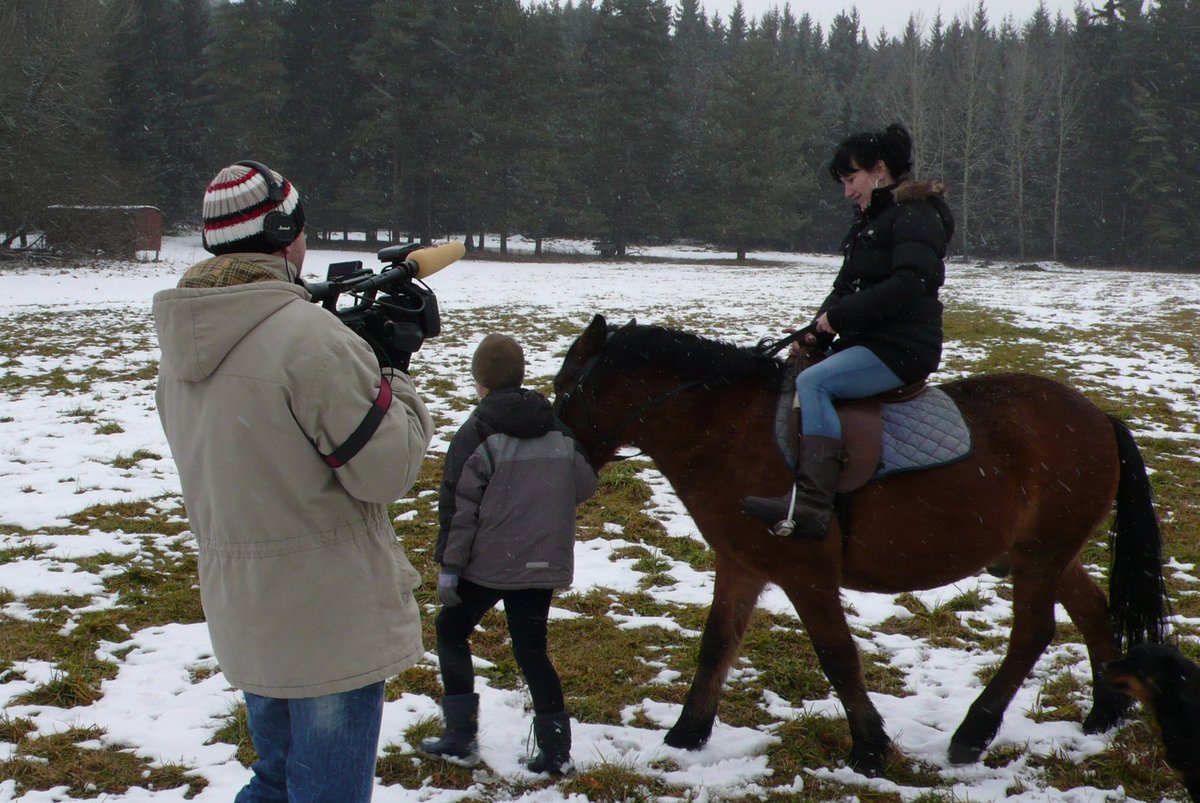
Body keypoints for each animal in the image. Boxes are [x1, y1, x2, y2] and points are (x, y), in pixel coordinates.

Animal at [556, 312, 1166, 777]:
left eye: (566, 390)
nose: (565, 468)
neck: (731, 431)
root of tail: (1099, 416)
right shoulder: (741, 564)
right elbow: (716, 646)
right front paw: (686, 735)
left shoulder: (805, 572)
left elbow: (837, 656)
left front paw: (870, 748)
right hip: (1048, 553)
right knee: (1092, 610)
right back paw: (1104, 713)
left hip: (1040, 555)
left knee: (1032, 633)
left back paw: (974, 732)